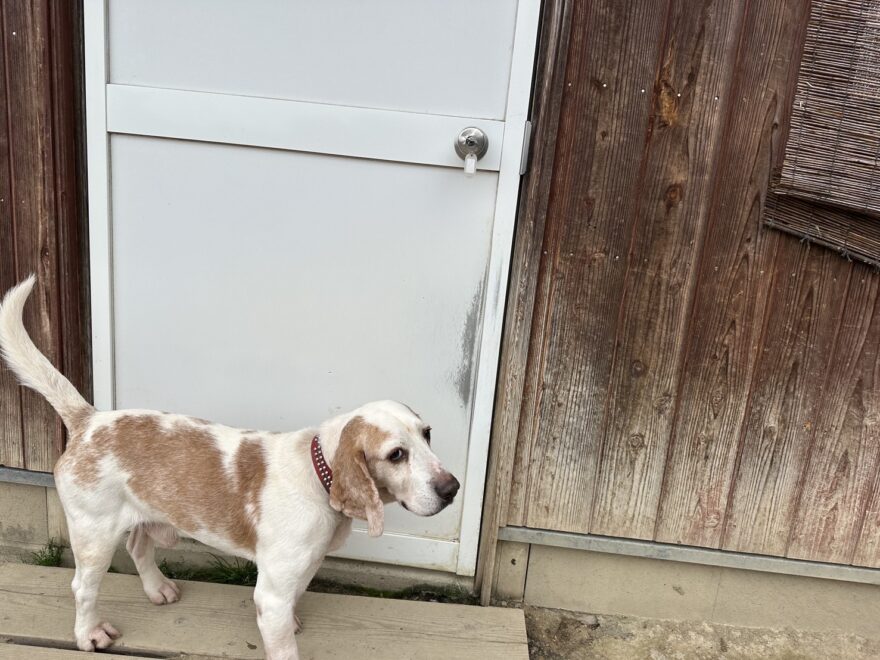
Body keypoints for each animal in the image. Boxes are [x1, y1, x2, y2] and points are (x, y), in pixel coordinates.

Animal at [0, 276, 460, 660]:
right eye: (396, 454)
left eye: (428, 433)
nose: (452, 489)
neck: (319, 474)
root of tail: (88, 420)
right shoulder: (271, 595)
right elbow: (283, 644)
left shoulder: (299, 570)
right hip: (94, 534)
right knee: (83, 587)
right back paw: (88, 635)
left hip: (144, 517)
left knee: (138, 548)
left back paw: (158, 589)